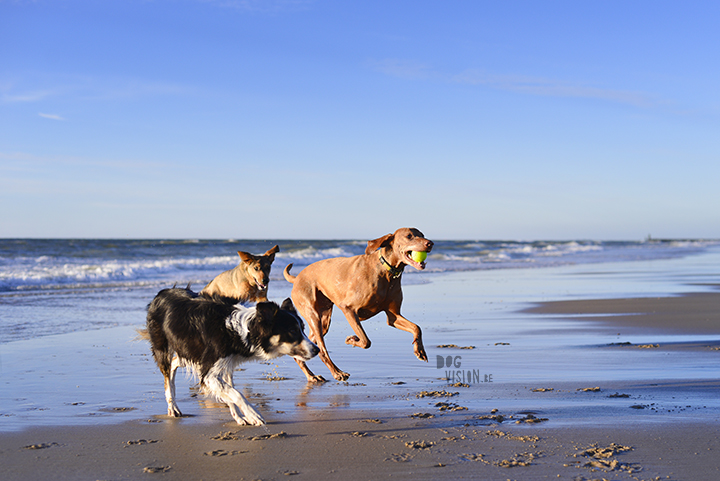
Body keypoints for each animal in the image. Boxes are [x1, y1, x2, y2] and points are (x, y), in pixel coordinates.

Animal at [282, 227, 434, 380]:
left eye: (422, 235)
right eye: (409, 236)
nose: (430, 243)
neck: (387, 272)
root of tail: (297, 278)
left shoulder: (393, 316)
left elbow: (416, 328)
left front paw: (420, 350)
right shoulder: (348, 308)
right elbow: (366, 341)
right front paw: (352, 340)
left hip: (323, 319)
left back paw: (312, 376)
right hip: (312, 314)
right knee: (322, 349)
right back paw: (337, 373)